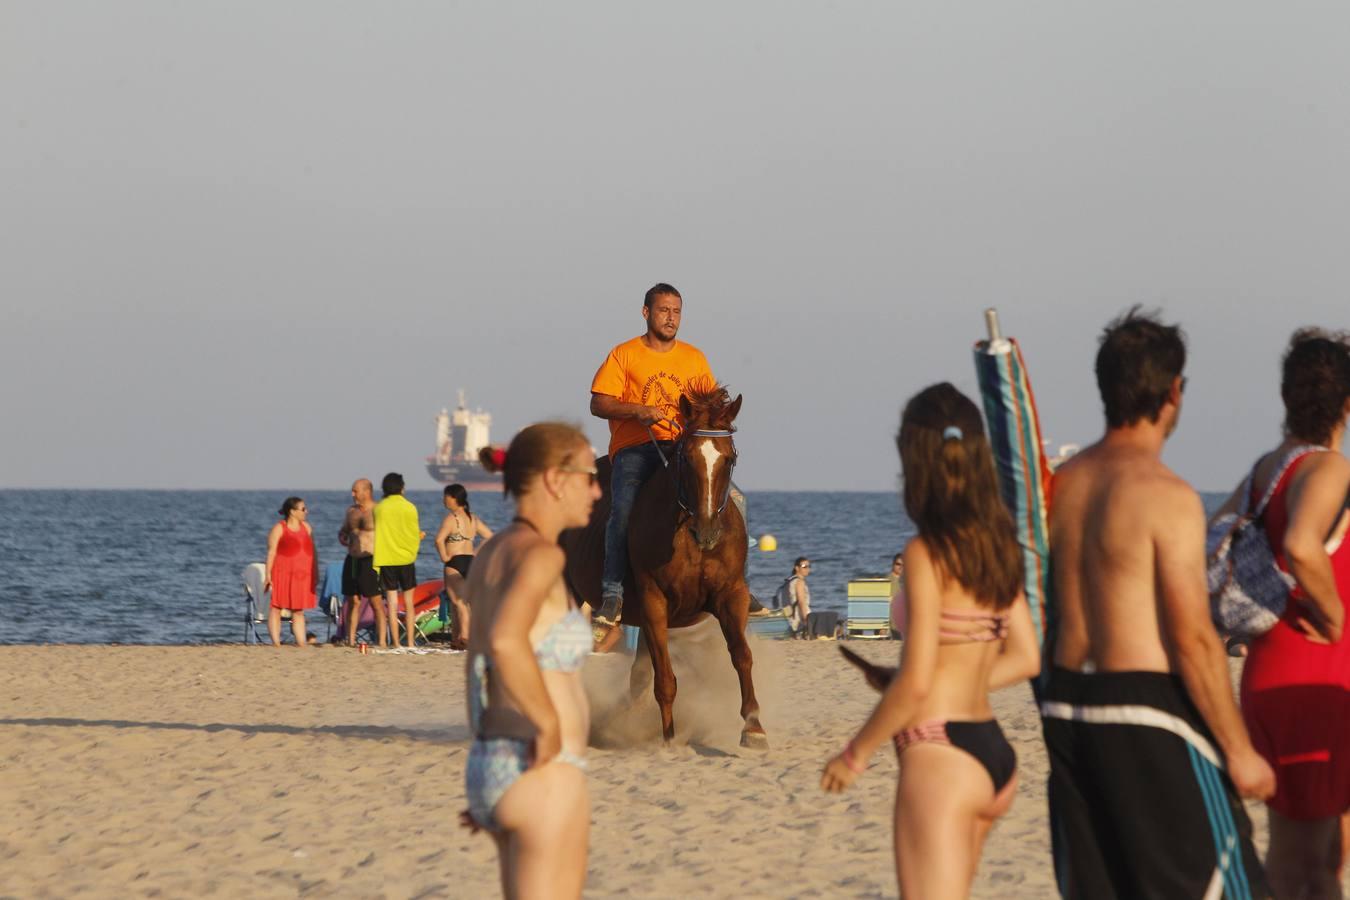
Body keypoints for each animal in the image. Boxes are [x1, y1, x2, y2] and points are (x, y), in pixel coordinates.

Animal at [561, 383, 772, 755]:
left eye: (728, 458)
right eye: (687, 457)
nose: (707, 531)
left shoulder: (730, 597)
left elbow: (742, 657)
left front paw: (753, 728)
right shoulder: (653, 602)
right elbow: (665, 678)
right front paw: (670, 739)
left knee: (638, 677)